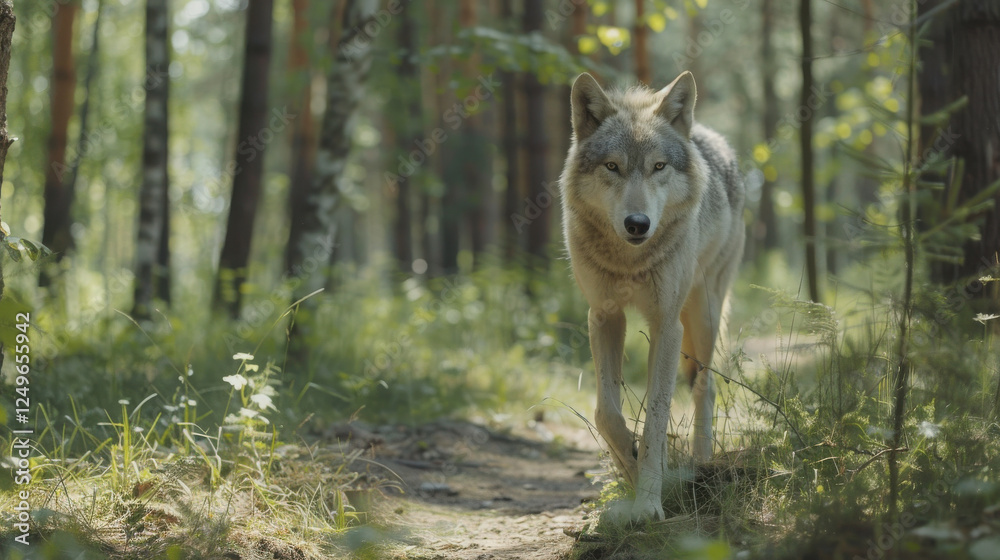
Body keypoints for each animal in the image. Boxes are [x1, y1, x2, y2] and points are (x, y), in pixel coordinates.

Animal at [560, 71, 745, 521]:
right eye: (613, 166)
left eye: (658, 166)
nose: (638, 223)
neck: (629, 261)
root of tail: (707, 135)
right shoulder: (604, 316)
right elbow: (606, 412)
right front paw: (629, 466)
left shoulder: (667, 325)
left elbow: (658, 413)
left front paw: (648, 502)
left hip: (704, 314)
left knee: (704, 387)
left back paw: (701, 462)